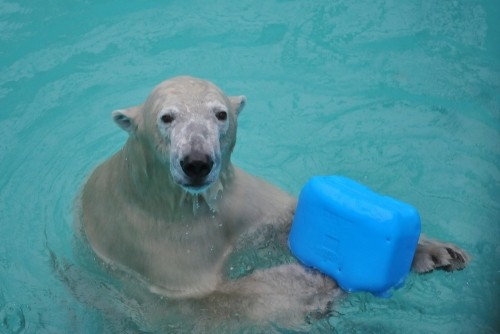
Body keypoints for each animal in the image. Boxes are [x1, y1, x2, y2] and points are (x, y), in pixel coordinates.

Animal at [81, 76, 468, 326]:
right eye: (167, 117)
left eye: (220, 114)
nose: (197, 161)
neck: (177, 203)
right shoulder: (155, 245)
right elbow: (215, 298)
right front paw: (318, 279)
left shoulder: (239, 202)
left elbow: (283, 223)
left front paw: (436, 253)